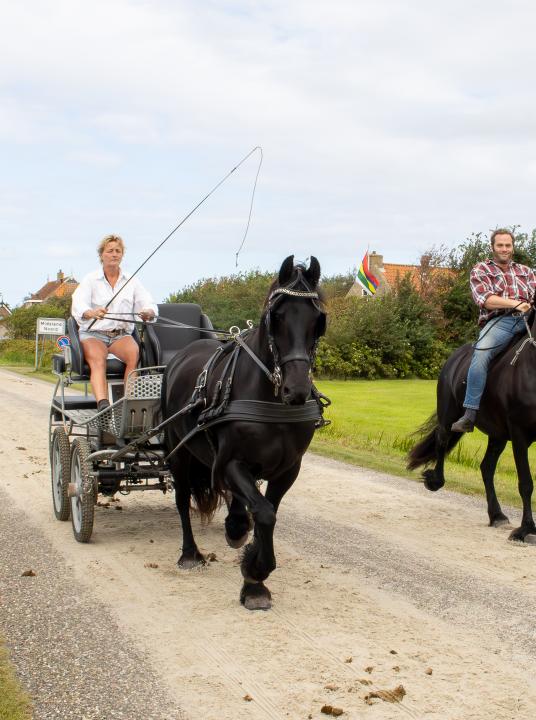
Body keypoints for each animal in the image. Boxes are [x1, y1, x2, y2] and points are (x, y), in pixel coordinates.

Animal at [161, 256, 326, 612]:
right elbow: (263, 513)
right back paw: (190, 553)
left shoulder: (288, 469)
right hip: (178, 451)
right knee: (182, 500)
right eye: (276, 316)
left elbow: (268, 511)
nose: (296, 389)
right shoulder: (230, 463)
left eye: (318, 320)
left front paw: (254, 579)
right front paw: (255, 572)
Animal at [408, 324, 536, 544]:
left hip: (497, 435)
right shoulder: (519, 434)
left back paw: (497, 515)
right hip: (448, 415)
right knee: (441, 441)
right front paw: (525, 530)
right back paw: (434, 480)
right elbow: (526, 483)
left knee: (486, 467)